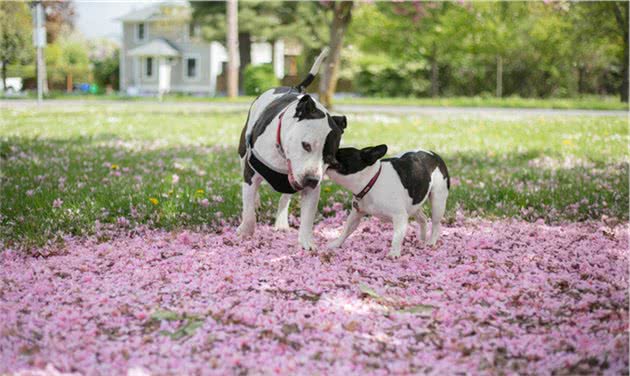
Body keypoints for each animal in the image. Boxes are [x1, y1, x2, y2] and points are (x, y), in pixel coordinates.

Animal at [237, 49, 348, 250]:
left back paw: (281, 221)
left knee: (285, 198)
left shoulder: (311, 188)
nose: (311, 179)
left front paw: (307, 242)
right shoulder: (251, 172)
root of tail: (295, 89)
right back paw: (256, 203)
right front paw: (245, 231)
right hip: (243, 153)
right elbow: (248, 211)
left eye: (330, 159)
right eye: (306, 145)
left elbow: (308, 217)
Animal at [326, 145, 454, 258]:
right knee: (422, 219)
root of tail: (435, 155)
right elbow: (346, 229)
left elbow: (396, 237)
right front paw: (336, 244)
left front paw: (394, 253)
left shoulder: (399, 216)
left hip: (438, 200)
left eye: (339, 153)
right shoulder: (356, 214)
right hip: (413, 204)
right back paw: (422, 238)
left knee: (436, 223)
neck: (371, 181)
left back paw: (431, 241)